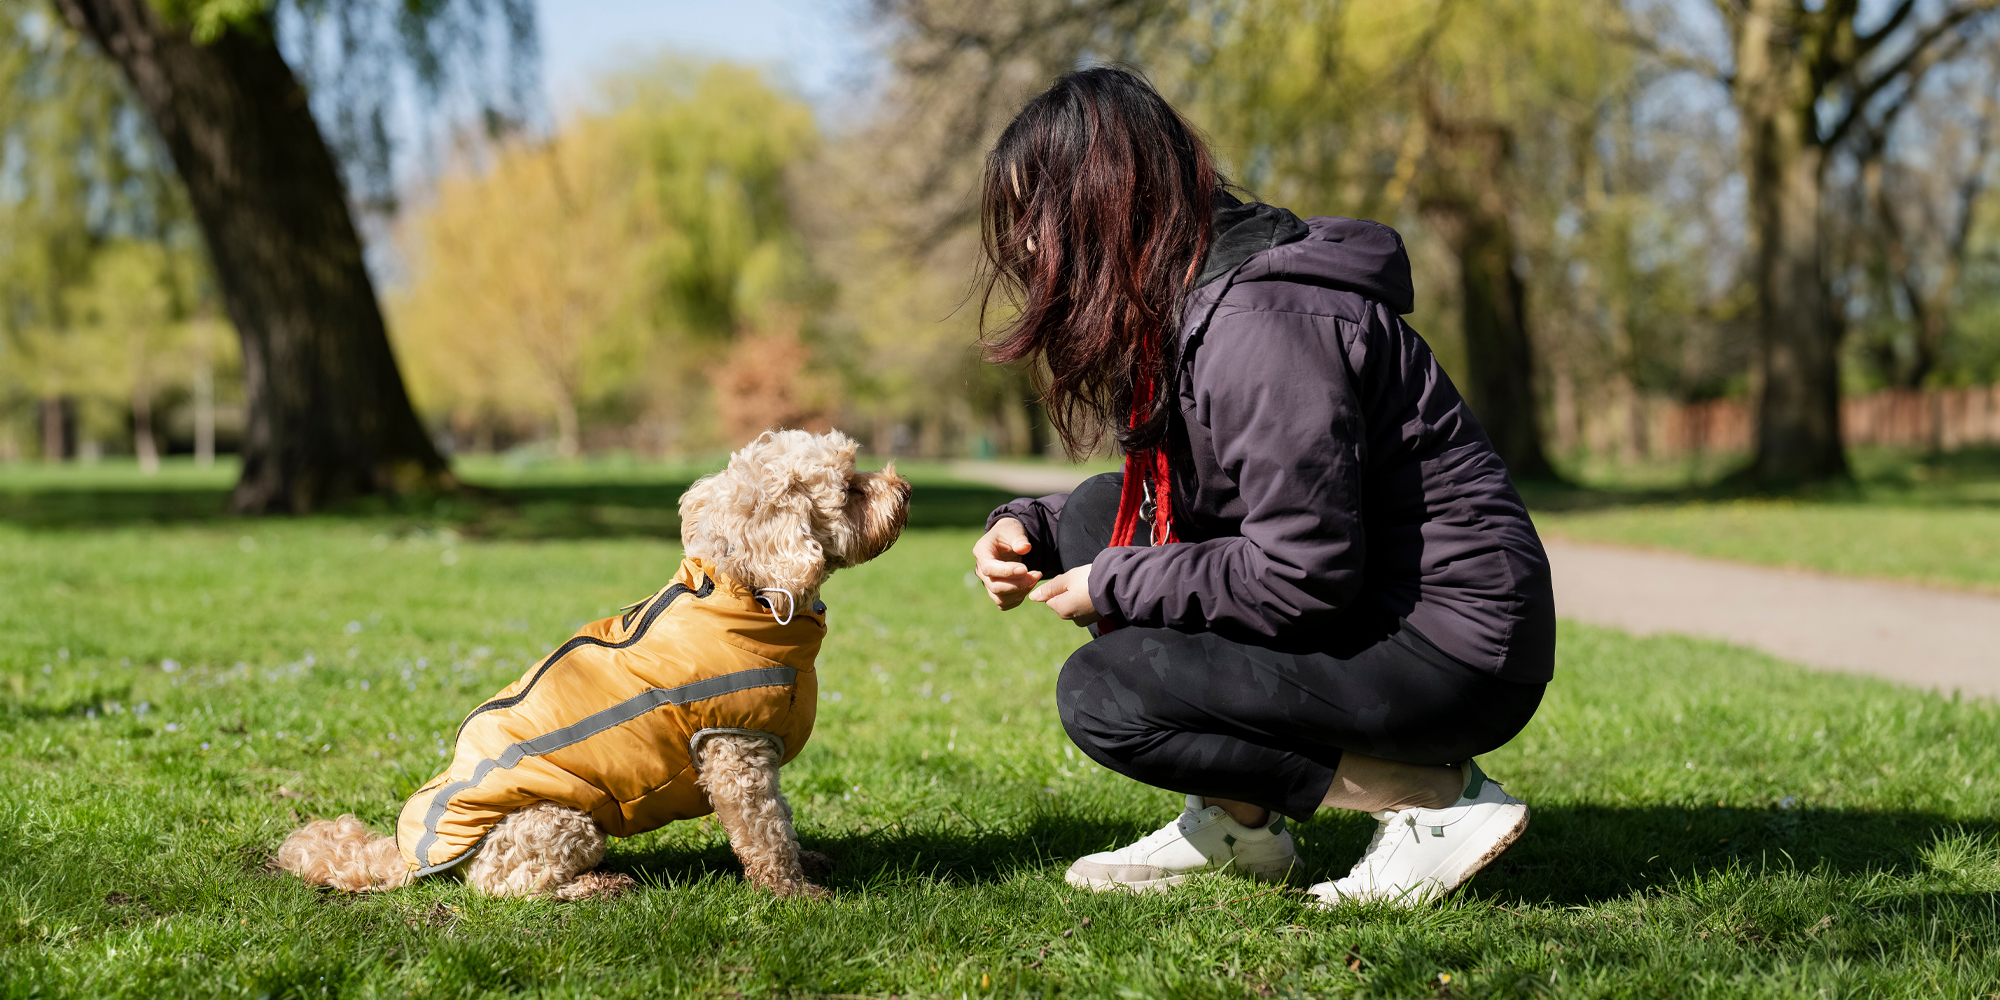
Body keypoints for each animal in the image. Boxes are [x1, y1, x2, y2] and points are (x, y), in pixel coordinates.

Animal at [276, 430, 916, 900]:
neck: (741, 595)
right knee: (504, 887)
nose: (905, 488)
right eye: (851, 488)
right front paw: (795, 892)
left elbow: (783, 818)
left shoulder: (756, 753)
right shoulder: (736, 755)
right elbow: (765, 832)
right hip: (563, 823)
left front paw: (808, 861)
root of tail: (408, 857)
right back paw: (595, 886)